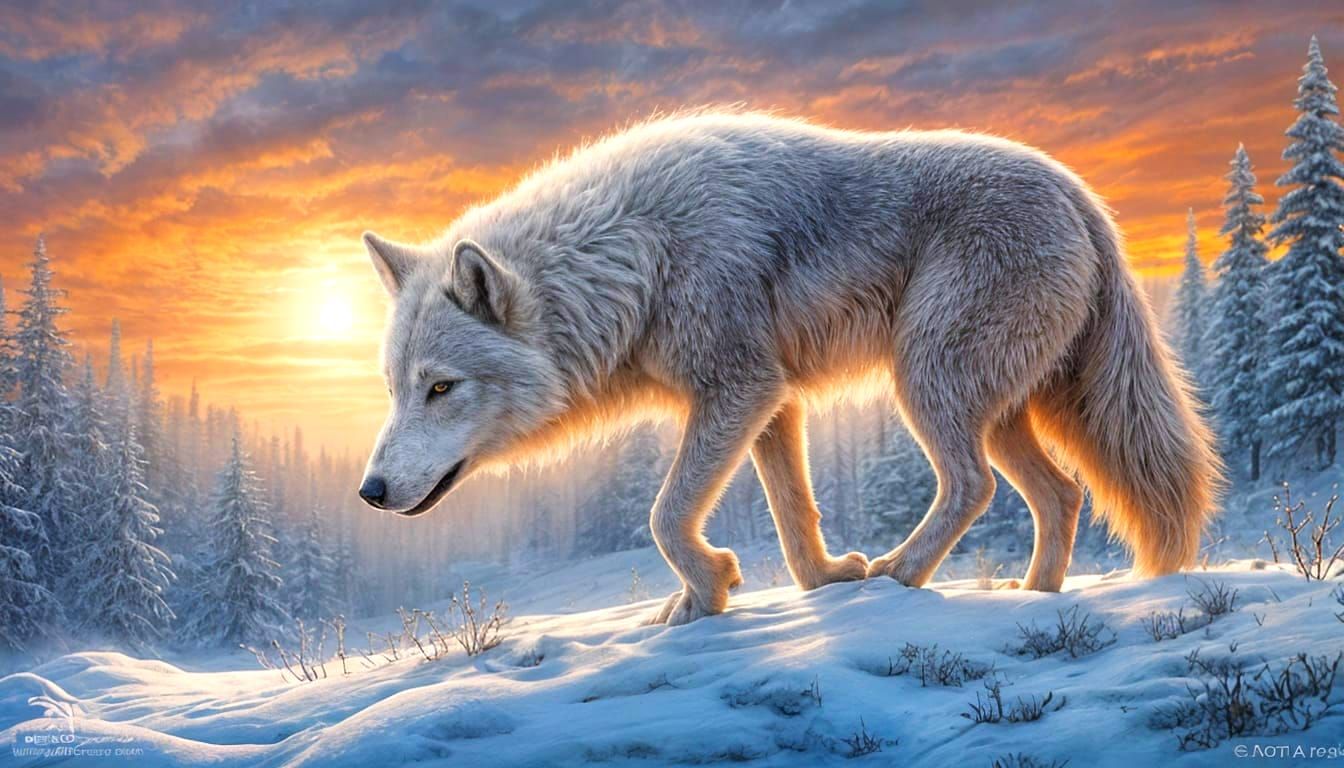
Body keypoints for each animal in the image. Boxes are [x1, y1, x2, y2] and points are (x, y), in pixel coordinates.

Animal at [358, 110, 1221, 626]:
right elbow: (793, 515)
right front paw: (823, 581)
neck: (633, 258)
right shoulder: (772, 403)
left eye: (442, 388)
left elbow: (665, 514)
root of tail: (1081, 193)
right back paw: (1031, 596)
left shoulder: (739, 389)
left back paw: (900, 574)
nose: (369, 492)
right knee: (1062, 494)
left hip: (928, 382)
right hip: (1003, 409)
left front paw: (706, 593)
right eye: (396, 391)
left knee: (973, 485)